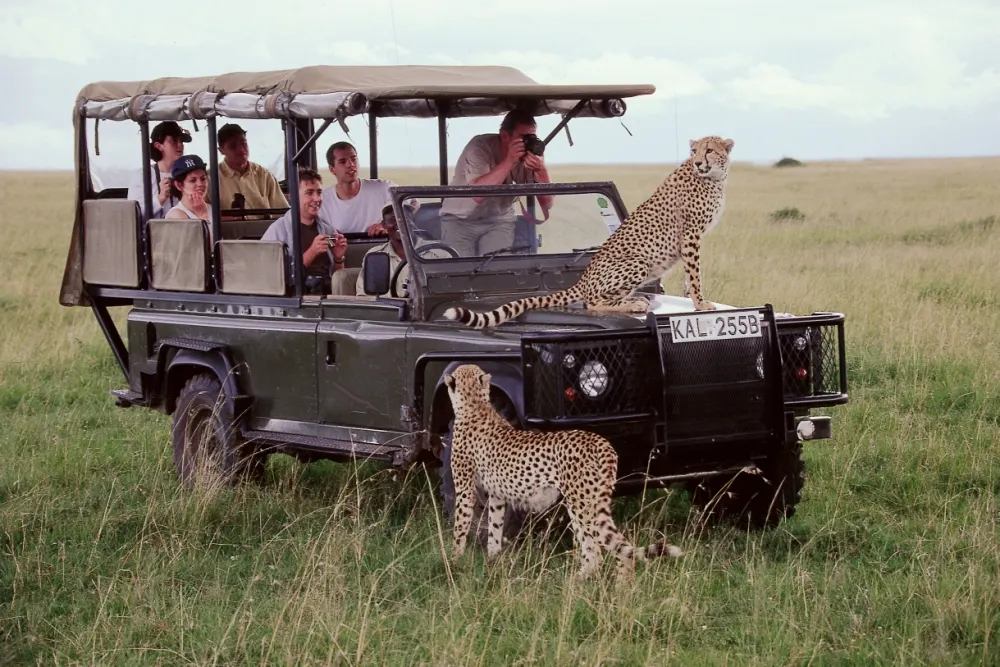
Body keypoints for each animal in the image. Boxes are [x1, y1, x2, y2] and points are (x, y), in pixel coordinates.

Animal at [442, 135, 735, 329]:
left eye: (709, 150)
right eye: (695, 151)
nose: (698, 163)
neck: (714, 178)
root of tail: (582, 279)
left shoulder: (692, 238)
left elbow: (690, 273)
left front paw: (692, 299)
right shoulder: (690, 234)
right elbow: (695, 273)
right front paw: (701, 304)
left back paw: (636, 298)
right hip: (637, 262)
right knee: (592, 301)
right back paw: (634, 303)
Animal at [442, 363, 684, 582]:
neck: (475, 403)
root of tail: (600, 440)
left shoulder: (465, 490)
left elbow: (460, 527)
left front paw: (453, 562)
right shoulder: (497, 495)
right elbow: (494, 527)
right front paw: (493, 561)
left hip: (582, 503)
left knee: (606, 550)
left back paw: (614, 587)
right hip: (584, 502)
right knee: (596, 552)